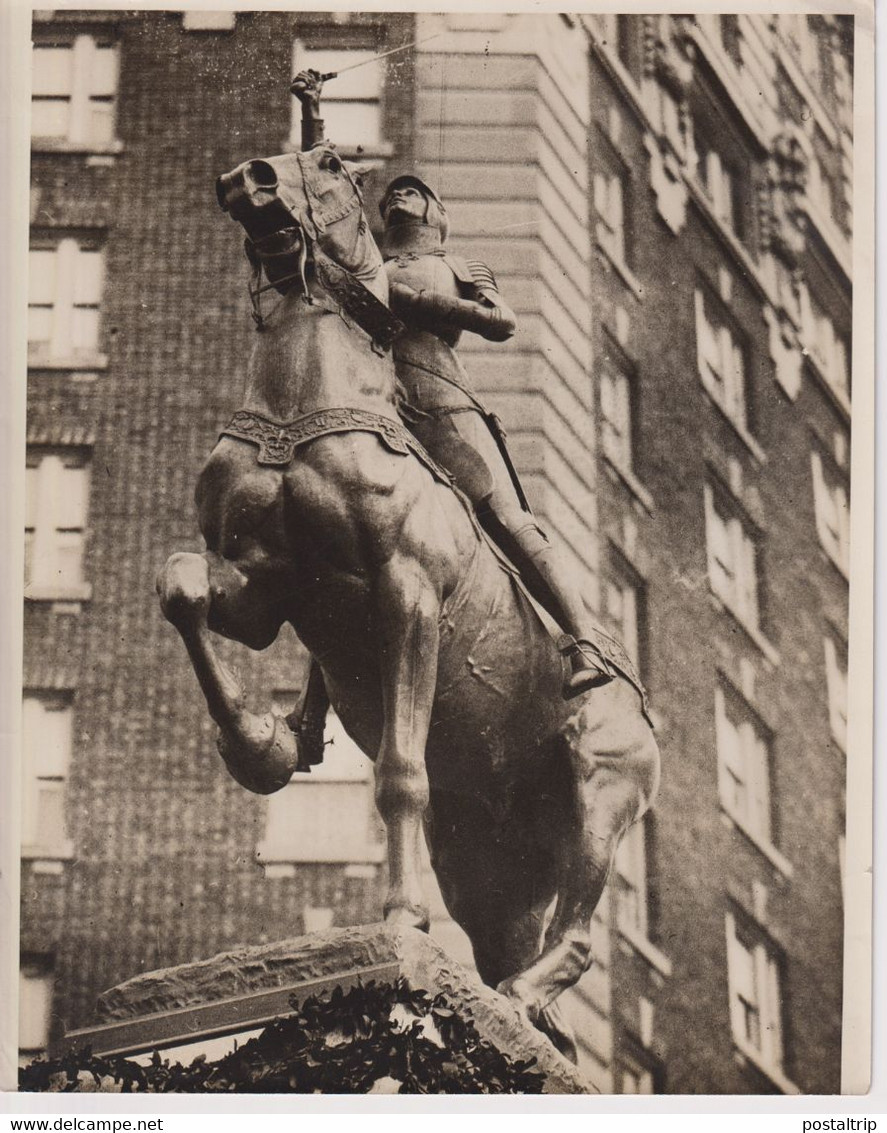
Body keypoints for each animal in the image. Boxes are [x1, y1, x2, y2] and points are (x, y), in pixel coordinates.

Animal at [157, 143, 657, 1060]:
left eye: (325, 160)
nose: (249, 180)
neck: (307, 409)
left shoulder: (406, 598)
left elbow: (397, 773)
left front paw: (399, 922)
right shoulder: (258, 589)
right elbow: (180, 587)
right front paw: (260, 745)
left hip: (599, 792)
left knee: (574, 932)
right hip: (485, 860)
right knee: (515, 941)